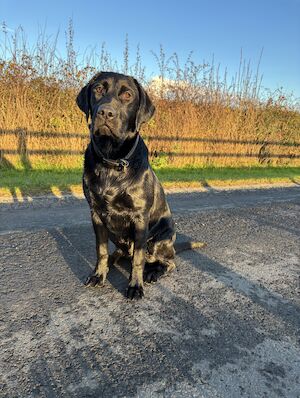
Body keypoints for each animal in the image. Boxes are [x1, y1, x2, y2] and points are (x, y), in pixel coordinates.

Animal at [77, 71, 204, 298]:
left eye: (128, 95)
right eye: (98, 89)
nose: (105, 112)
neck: (112, 161)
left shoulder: (139, 218)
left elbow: (138, 258)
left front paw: (135, 285)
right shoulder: (96, 214)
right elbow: (101, 250)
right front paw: (98, 274)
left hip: (160, 237)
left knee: (167, 262)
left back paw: (152, 272)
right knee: (119, 252)